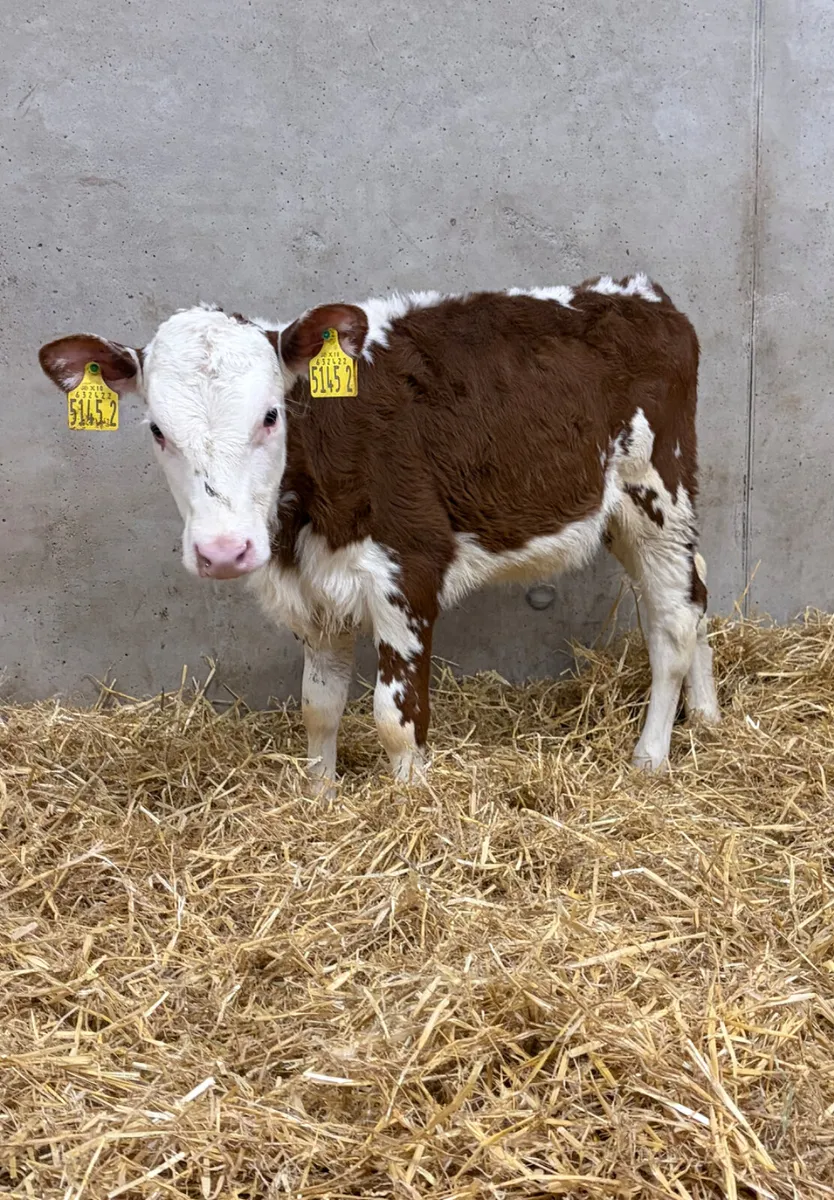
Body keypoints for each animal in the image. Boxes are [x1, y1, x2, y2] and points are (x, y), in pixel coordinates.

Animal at [38, 274, 720, 786]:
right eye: (157, 430)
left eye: (271, 415)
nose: (225, 551)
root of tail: (638, 292)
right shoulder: (315, 590)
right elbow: (318, 707)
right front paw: (320, 797)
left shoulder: (409, 571)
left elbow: (396, 718)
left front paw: (410, 801)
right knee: (696, 591)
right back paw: (708, 716)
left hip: (658, 492)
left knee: (672, 622)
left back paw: (651, 756)